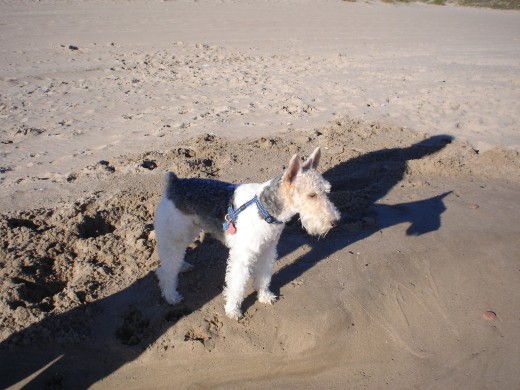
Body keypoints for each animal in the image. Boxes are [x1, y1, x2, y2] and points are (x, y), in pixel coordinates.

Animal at [154, 147, 342, 320]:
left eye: (327, 191)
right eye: (311, 195)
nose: (335, 222)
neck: (265, 208)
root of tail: (174, 182)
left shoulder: (268, 250)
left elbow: (264, 276)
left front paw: (264, 296)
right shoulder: (242, 257)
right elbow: (237, 285)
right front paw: (233, 310)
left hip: (189, 230)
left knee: (174, 259)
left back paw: (182, 266)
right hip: (174, 233)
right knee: (165, 270)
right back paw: (171, 296)